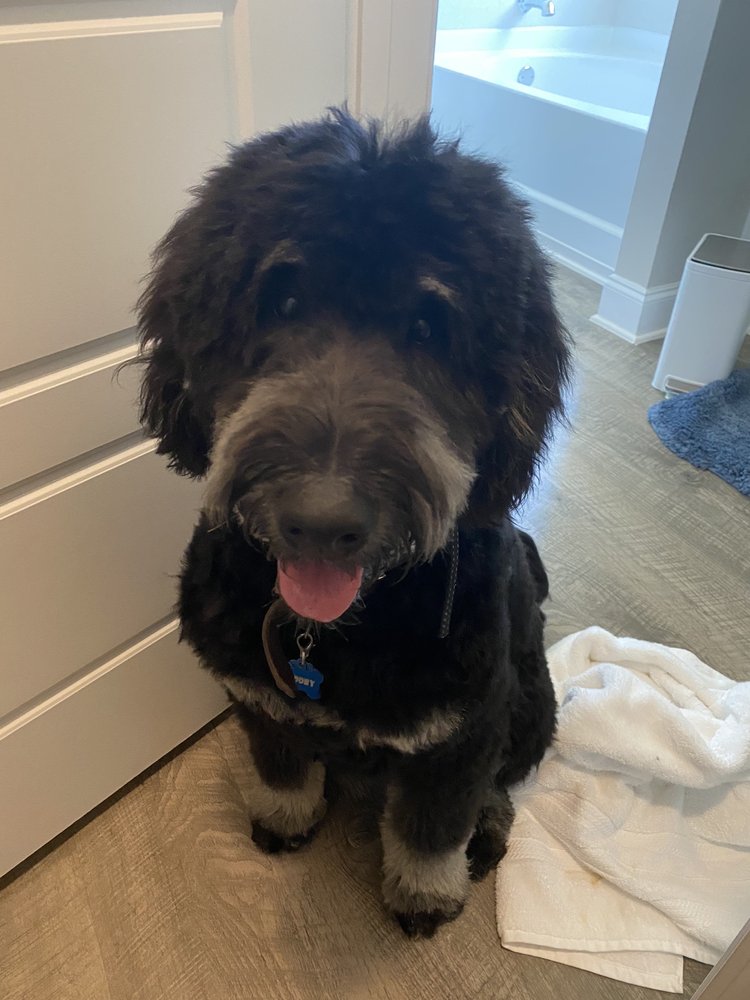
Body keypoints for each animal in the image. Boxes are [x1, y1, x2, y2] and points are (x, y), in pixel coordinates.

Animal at [136, 108, 570, 938]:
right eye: (281, 302)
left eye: (430, 326)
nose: (321, 521)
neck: (337, 631)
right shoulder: (260, 700)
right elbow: (280, 769)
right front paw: (285, 817)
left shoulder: (458, 733)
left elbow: (431, 826)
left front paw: (425, 893)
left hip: (532, 697)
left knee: (504, 779)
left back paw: (490, 825)